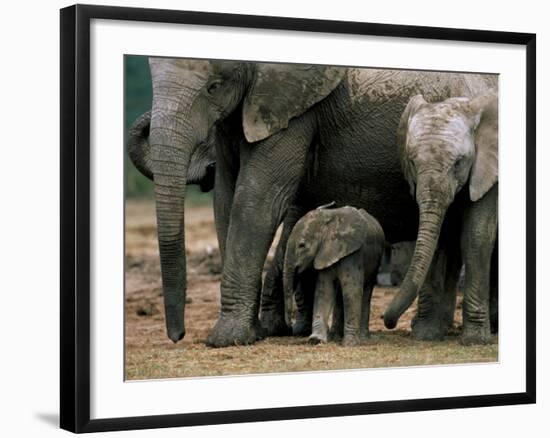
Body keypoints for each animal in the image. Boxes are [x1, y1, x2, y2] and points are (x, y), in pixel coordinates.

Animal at [282, 205, 386, 346]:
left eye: (302, 245)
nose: (289, 326)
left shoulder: (353, 253)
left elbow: (352, 290)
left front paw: (349, 344)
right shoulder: (325, 252)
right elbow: (324, 290)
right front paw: (315, 340)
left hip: (374, 263)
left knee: (366, 291)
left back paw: (363, 338)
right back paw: (334, 337)